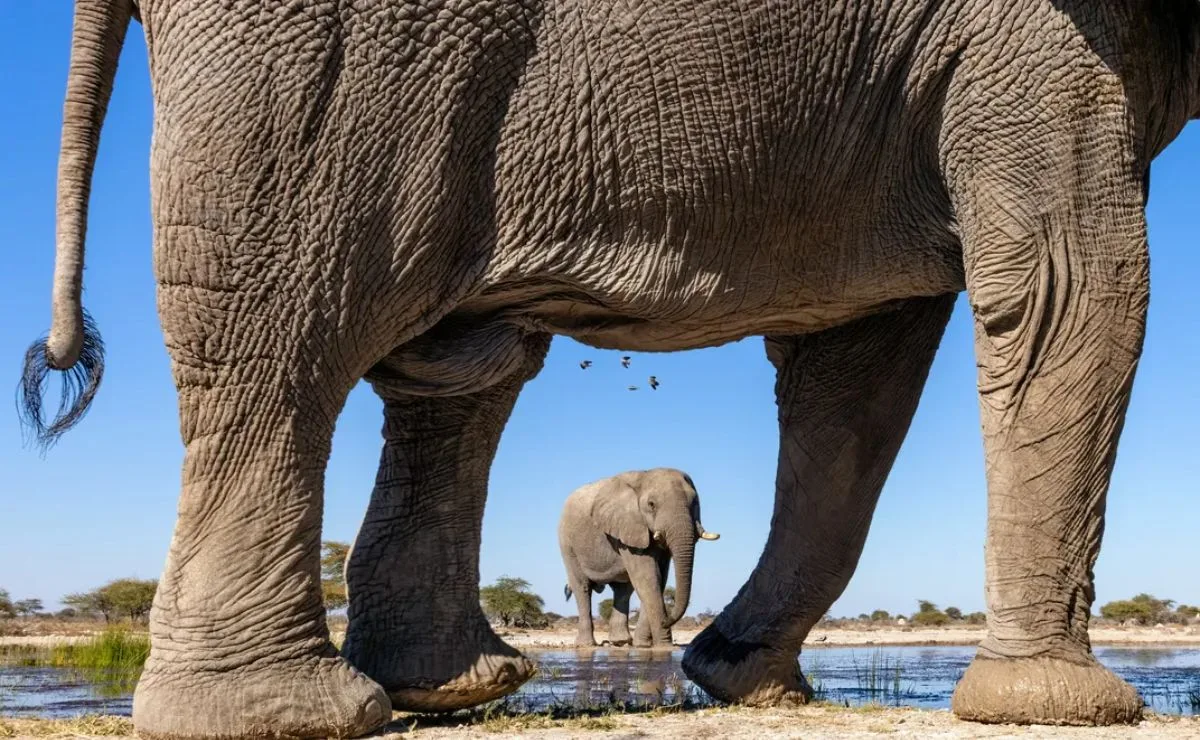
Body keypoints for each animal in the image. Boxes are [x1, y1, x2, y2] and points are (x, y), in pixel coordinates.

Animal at [558, 468, 720, 648]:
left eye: (695, 503)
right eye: (651, 505)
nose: (666, 621)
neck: (645, 475)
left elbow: (659, 578)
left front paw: (643, 645)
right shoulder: (628, 528)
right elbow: (648, 578)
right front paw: (663, 647)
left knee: (623, 590)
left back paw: (620, 642)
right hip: (568, 544)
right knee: (582, 587)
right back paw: (586, 645)